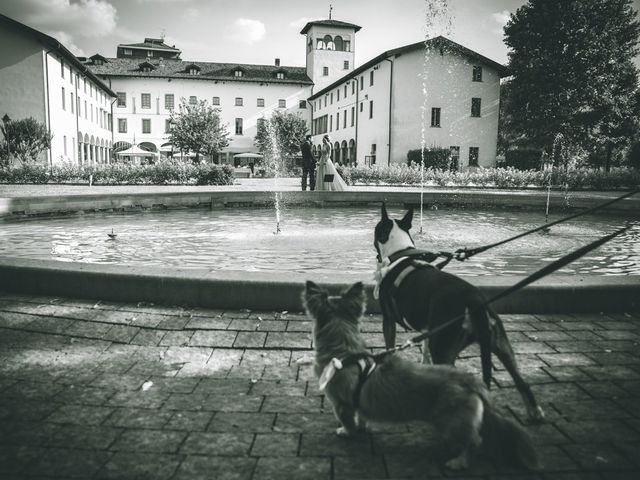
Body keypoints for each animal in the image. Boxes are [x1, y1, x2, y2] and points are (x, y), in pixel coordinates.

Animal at [302, 280, 536, 470]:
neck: (344, 350)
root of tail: (471, 382)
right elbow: (361, 416)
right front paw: (361, 427)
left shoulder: (341, 404)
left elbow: (348, 420)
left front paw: (346, 432)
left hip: (453, 424)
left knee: (473, 441)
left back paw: (458, 462)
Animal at [372, 204, 544, 422]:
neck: (400, 253)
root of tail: (474, 299)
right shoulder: (429, 326)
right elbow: (425, 351)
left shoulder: (388, 321)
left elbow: (389, 346)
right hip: (500, 342)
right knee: (520, 378)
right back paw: (534, 412)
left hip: (444, 346)